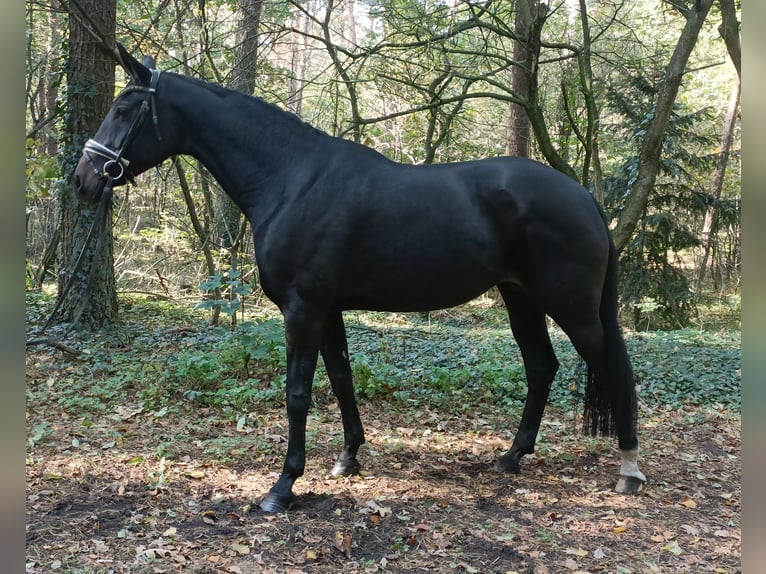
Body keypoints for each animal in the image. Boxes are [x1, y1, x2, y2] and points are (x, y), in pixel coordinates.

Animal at [73, 45, 648, 512]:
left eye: (124, 109)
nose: (82, 180)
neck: (291, 179)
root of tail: (583, 196)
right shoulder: (327, 309)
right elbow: (342, 379)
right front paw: (348, 457)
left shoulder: (303, 308)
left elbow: (298, 393)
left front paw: (283, 487)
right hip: (521, 299)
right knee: (542, 367)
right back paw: (512, 457)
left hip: (572, 308)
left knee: (614, 369)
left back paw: (629, 468)